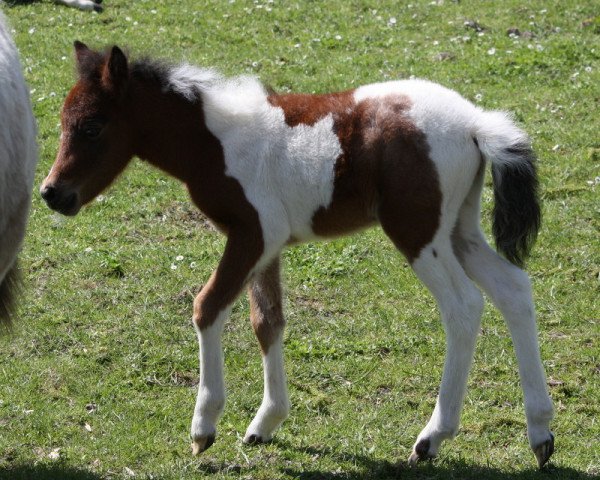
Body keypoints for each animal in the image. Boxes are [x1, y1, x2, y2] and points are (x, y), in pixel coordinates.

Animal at [39, 43, 556, 466]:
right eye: (63, 123)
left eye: (92, 126)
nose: (51, 193)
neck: (214, 142)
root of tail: (475, 123)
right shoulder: (269, 244)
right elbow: (267, 321)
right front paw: (265, 423)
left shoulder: (253, 234)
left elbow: (207, 306)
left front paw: (204, 426)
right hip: (458, 229)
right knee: (513, 288)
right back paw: (540, 433)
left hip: (418, 233)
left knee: (464, 306)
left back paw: (432, 438)